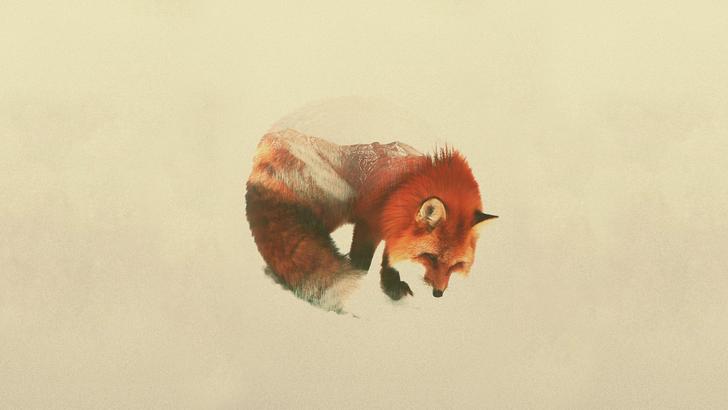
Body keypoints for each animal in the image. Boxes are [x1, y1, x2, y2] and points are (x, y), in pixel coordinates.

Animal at [245, 128, 497, 311]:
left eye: (456, 265)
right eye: (431, 257)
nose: (438, 293)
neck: (403, 189)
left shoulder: (395, 231)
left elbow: (389, 260)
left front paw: (391, 287)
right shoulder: (369, 225)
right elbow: (361, 261)